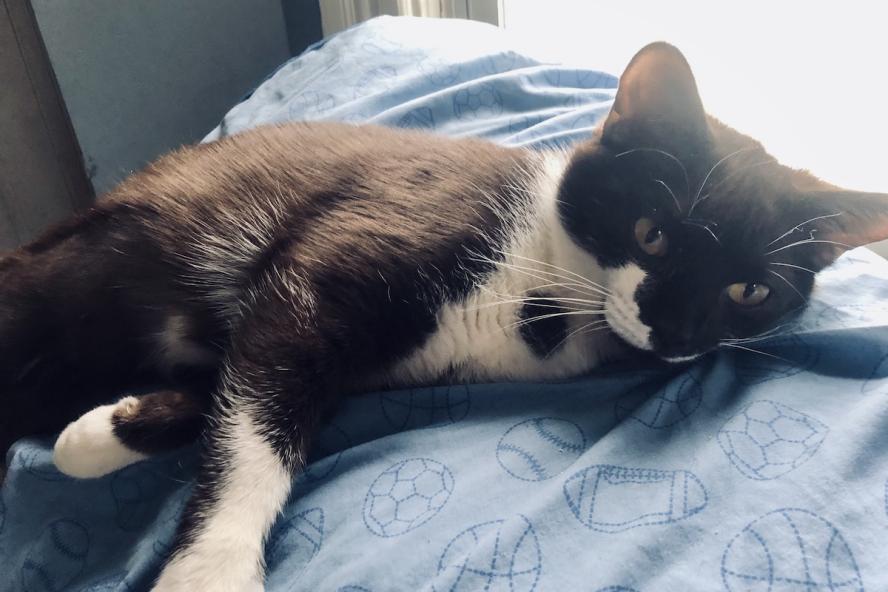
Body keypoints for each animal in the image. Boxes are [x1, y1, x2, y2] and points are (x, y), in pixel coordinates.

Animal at [1, 42, 888, 592]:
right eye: (652, 234)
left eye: (750, 293)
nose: (678, 332)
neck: (548, 289)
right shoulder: (329, 270)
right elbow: (256, 430)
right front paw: (208, 568)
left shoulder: (319, 356)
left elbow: (241, 397)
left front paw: (99, 435)